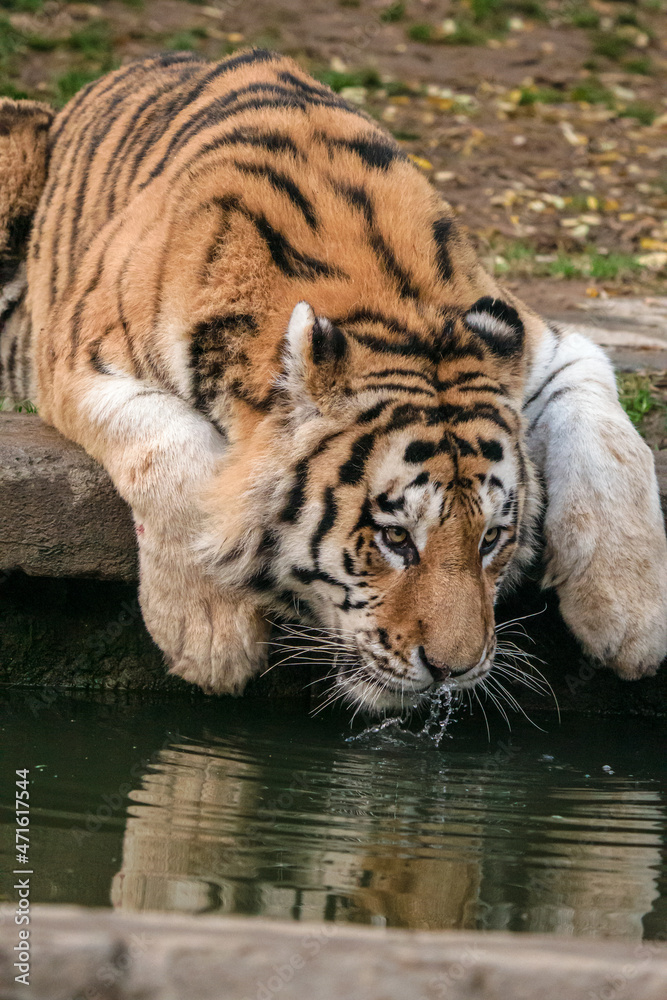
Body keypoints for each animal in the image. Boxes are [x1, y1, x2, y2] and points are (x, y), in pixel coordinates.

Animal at [1, 49, 665, 713]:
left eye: (492, 538)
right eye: (395, 538)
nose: (454, 670)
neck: (389, 303)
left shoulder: (548, 342)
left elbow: (611, 438)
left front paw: (632, 614)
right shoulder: (79, 355)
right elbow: (171, 456)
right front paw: (211, 633)